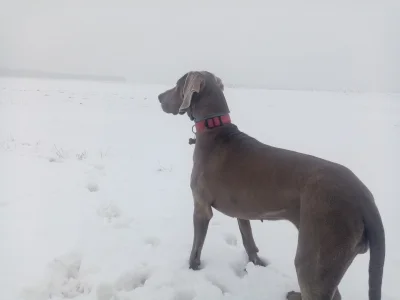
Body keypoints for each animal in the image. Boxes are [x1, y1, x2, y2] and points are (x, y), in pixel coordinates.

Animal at [158, 71, 386, 298]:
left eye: (177, 85)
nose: (159, 97)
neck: (215, 128)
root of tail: (366, 201)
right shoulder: (242, 210)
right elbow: (248, 239)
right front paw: (256, 263)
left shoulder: (201, 206)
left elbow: (197, 245)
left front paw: (192, 267)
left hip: (317, 253)